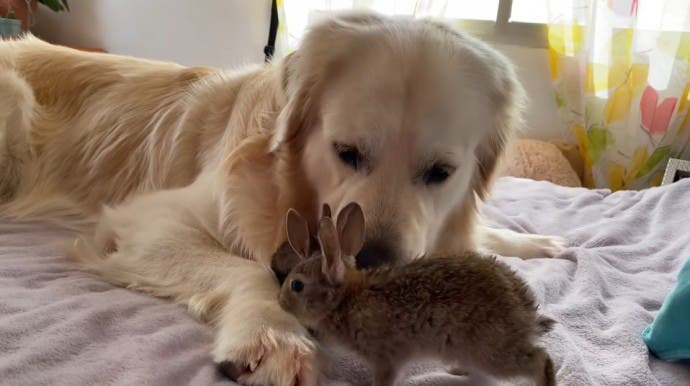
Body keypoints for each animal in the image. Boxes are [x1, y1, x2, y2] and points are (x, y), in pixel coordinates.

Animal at [274, 202, 552, 386]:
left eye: (296, 285)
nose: (281, 302)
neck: (345, 299)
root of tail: (525, 308)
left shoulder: (386, 357)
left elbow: (384, 378)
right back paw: (458, 369)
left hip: (492, 351)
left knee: (540, 360)